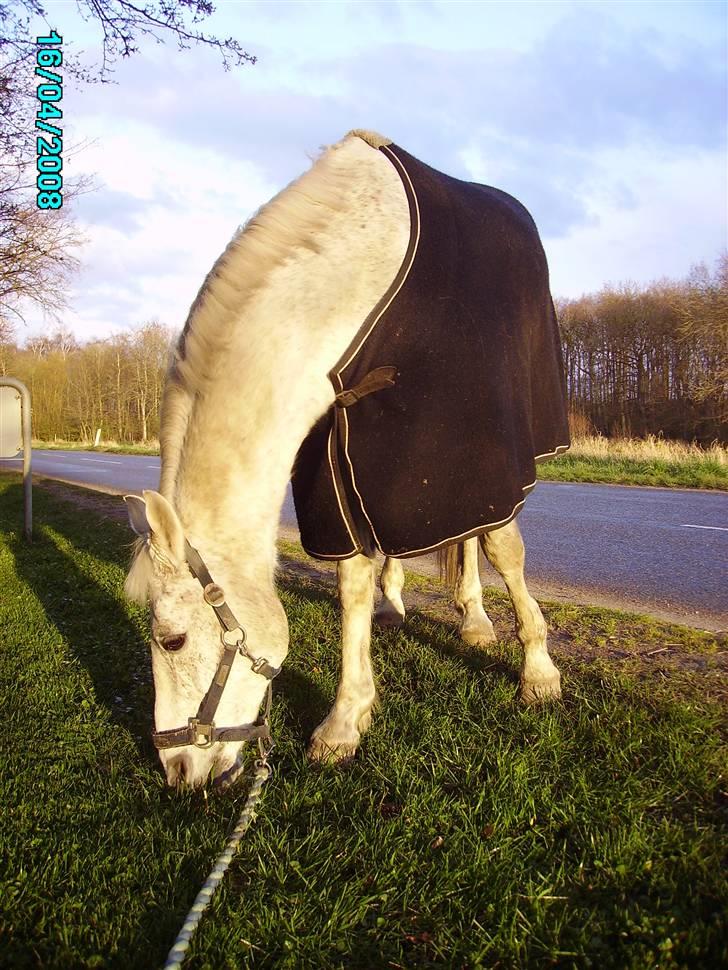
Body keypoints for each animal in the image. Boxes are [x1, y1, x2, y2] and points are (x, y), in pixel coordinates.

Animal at [123, 130, 564, 788]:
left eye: (171, 640)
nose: (177, 769)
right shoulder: (333, 469)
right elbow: (355, 584)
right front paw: (346, 720)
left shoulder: (479, 458)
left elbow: (505, 551)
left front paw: (538, 671)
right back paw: (431, 613)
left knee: (475, 537)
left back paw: (479, 625)